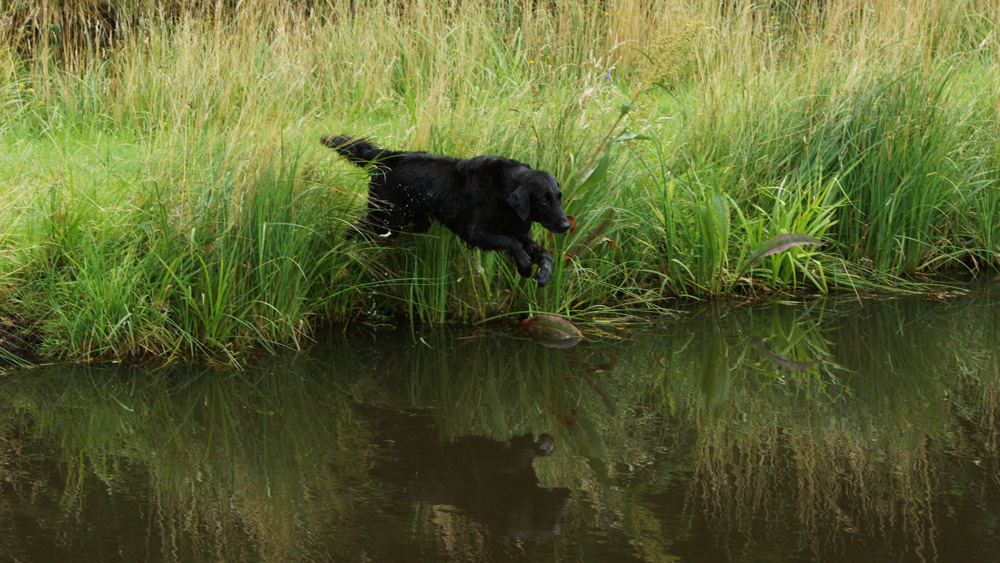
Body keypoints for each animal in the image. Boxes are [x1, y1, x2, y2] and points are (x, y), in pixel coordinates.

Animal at [320, 135, 572, 286]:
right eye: (543, 200)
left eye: (558, 197)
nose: (566, 225)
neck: (504, 191)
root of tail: (389, 155)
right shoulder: (476, 232)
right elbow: (511, 244)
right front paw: (525, 266)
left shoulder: (519, 230)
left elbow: (544, 253)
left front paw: (544, 273)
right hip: (386, 217)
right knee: (354, 227)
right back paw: (340, 249)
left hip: (411, 220)